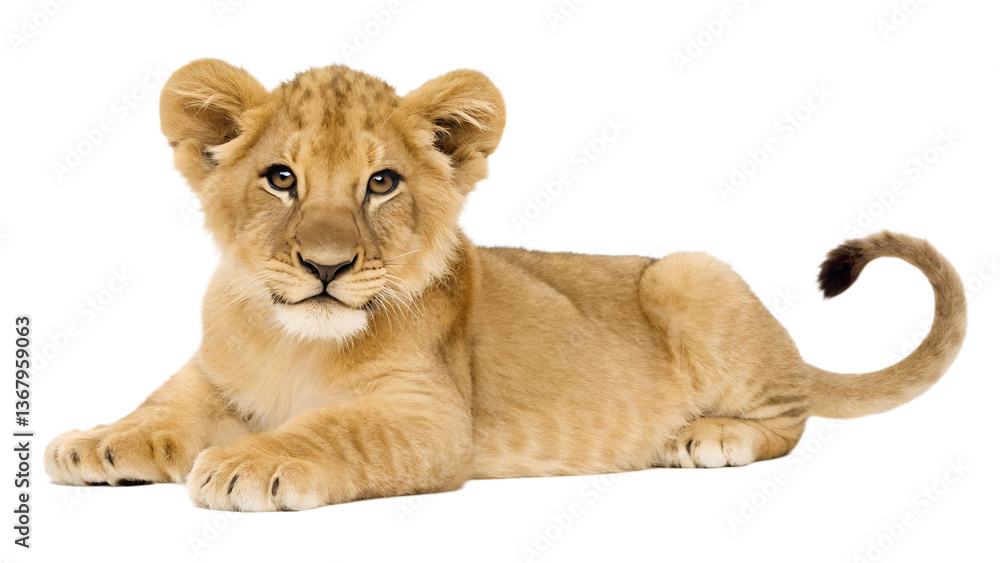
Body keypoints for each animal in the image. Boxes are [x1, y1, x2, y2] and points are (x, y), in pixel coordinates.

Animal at [44, 59, 967, 511]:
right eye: (281, 179)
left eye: (381, 183)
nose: (326, 267)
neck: (291, 340)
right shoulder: (211, 375)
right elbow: (160, 406)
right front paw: (95, 442)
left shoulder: (429, 417)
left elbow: (331, 430)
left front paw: (248, 461)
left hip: (690, 274)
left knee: (793, 413)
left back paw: (709, 436)